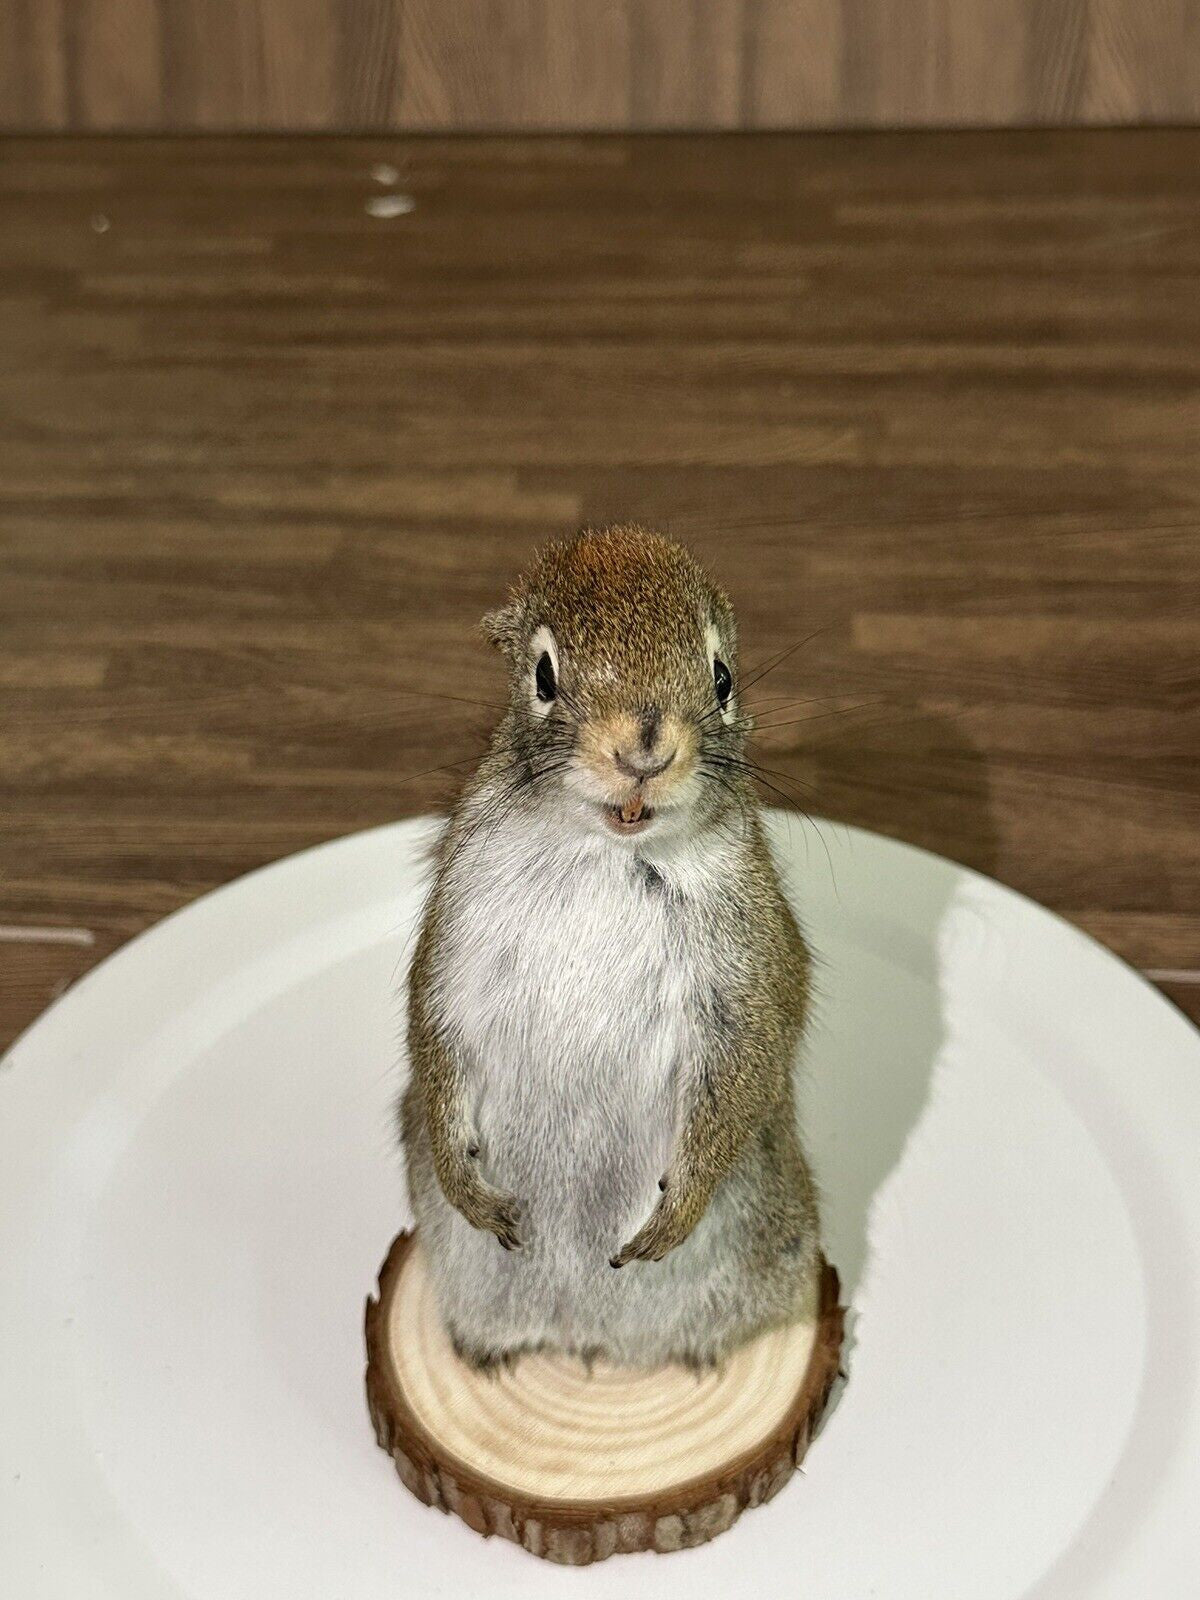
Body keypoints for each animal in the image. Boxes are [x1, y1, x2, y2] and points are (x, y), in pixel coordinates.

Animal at [399, 524, 821, 1371]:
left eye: (722, 677)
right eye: (543, 676)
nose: (644, 751)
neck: (608, 851)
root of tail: (588, 1337)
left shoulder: (749, 972)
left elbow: (744, 1074)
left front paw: (676, 1210)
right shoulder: (455, 945)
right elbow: (434, 1044)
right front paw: (469, 1187)